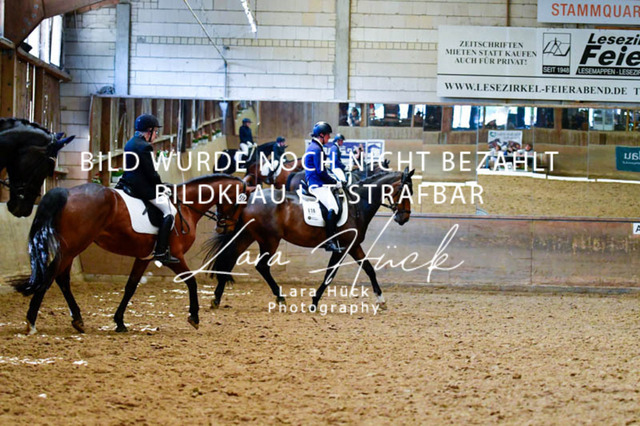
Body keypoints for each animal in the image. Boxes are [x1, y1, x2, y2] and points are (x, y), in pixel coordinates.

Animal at [11, 174, 252, 334]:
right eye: (240, 202)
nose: (226, 228)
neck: (186, 206)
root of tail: (67, 192)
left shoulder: (144, 257)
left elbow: (131, 287)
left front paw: (119, 322)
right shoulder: (174, 256)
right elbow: (191, 281)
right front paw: (194, 316)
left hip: (71, 248)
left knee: (61, 279)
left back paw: (77, 320)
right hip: (73, 246)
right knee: (51, 277)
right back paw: (31, 321)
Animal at [204, 167, 415, 309]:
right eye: (405, 191)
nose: (404, 218)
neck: (357, 205)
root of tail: (249, 198)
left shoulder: (353, 246)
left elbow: (370, 269)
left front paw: (381, 300)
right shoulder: (343, 247)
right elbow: (330, 274)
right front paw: (314, 302)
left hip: (248, 235)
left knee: (230, 259)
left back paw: (216, 298)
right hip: (269, 240)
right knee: (262, 266)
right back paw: (280, 298)